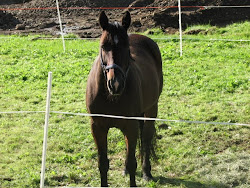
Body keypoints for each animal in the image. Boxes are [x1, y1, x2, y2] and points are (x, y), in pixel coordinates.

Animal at [86, 11, 163, 187]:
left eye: (126, 47)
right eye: (103, 46)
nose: (115, 84)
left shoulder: (131, 126)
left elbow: (132, 161)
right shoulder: (98, 128)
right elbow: (103, 163)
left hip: (151, 110)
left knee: (146, 139)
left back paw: (146, 172)